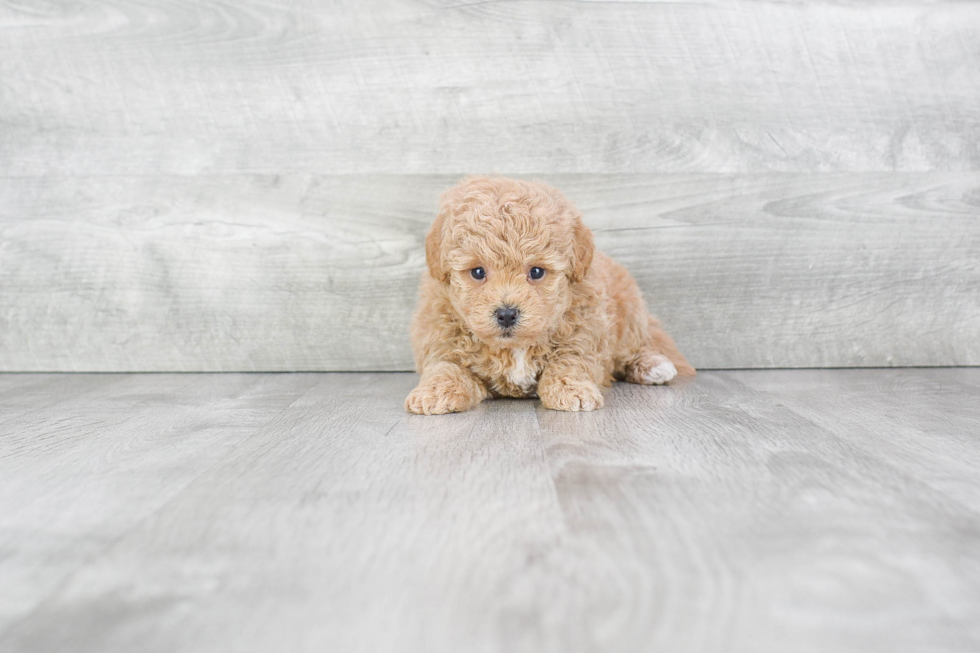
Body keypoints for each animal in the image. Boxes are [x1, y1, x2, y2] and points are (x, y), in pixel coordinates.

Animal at [408, 176, 696, 416]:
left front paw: (571, 389)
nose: (506, 314)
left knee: (637, 347)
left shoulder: (584, 332)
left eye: (536, 272)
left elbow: (569, 361)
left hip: (628, 317)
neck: (514, 348)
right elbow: (445, 368)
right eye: (478, 272)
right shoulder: (442, 340)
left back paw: (653, 366)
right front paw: (433, 392)